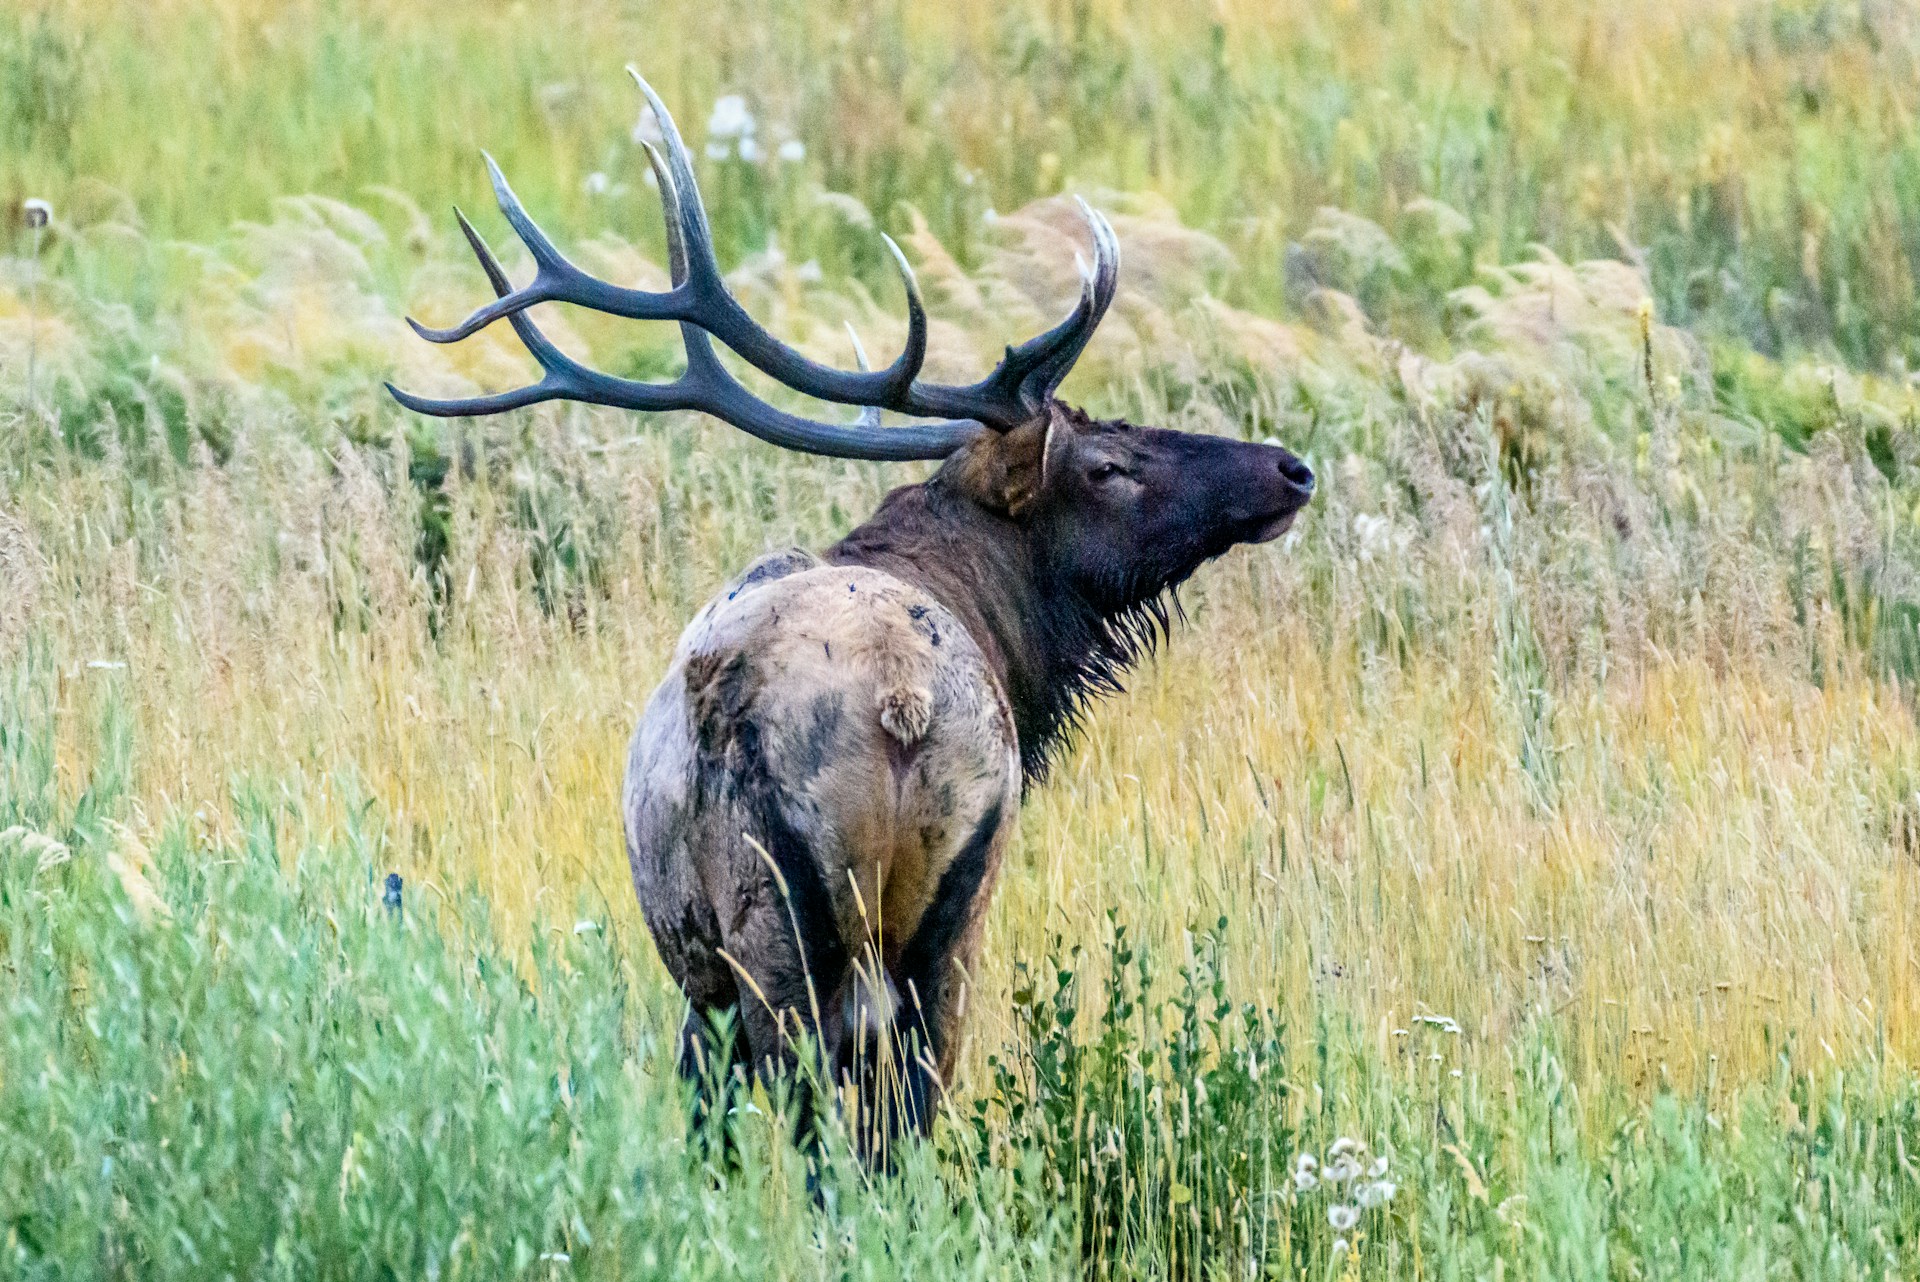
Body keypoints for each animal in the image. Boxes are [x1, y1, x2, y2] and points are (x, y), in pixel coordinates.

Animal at [389, 68, 1315, 1158]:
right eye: (1107, 463)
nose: (1290, 468)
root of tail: (898, 710)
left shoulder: (703, 976)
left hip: (797, 934)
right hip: (926, 915)